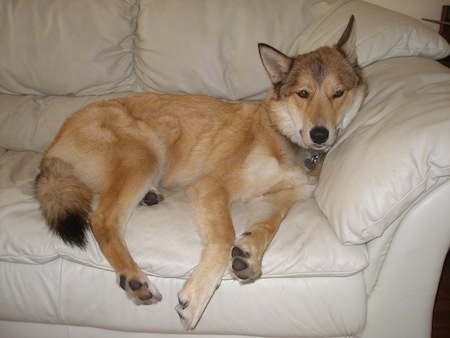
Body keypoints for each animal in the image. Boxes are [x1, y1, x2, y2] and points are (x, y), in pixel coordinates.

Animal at [35, 15, 366, 330]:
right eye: (303, 93)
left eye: (338, 93)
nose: (320, 135)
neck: (282, 134)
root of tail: (54, 146)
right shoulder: (212, 186)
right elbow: (225, 236)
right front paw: (197, 296)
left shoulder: (277, 198)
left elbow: (266, 228)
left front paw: (248, 254)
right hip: (145, 154)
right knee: (103, 219)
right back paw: (134, 278)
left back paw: (150, 197)